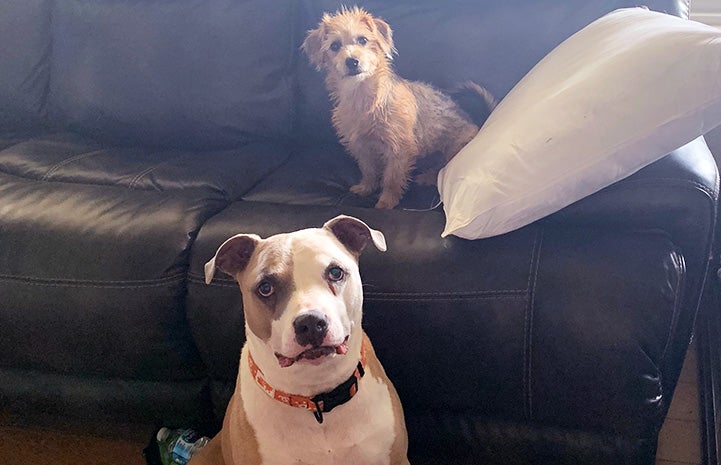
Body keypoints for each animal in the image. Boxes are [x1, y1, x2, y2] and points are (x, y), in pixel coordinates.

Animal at [300, 5, 496, 208]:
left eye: (362, 40)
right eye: (335, 46)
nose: (352, 61)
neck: (363, 97)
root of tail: (477, 124)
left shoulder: (398, 149)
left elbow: (391, 178)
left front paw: (386, 202)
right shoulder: (362, 146)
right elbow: (368, 170)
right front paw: (366, 188)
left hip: (453, 149)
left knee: (442, 168)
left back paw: (427, 177)